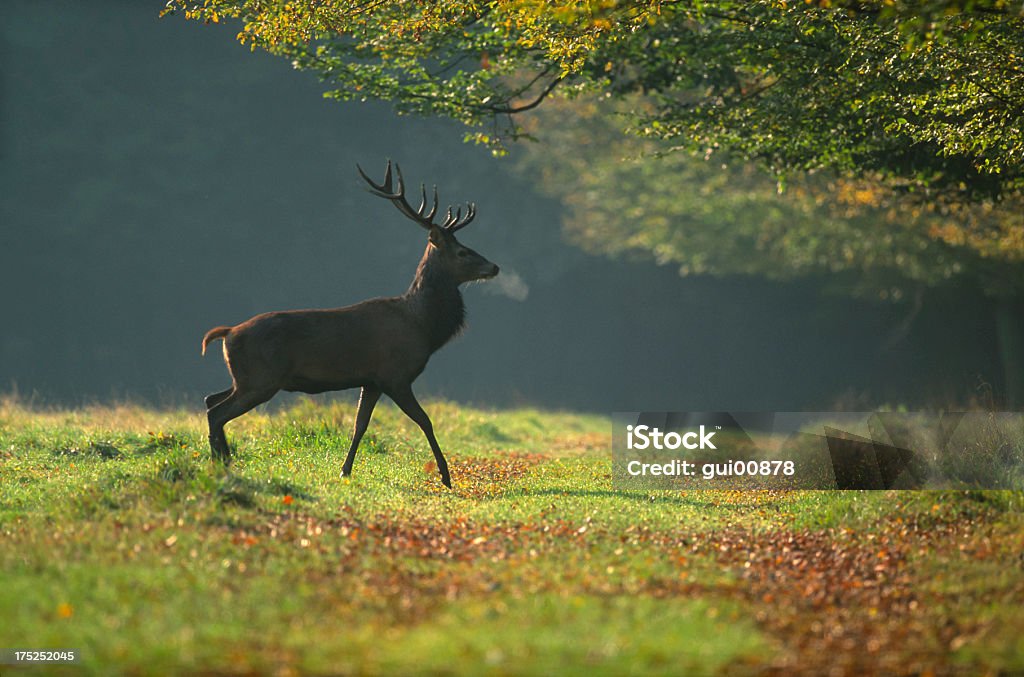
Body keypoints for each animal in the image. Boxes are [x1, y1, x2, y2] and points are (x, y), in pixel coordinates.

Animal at [198, 160, 495, 487]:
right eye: (462, 251)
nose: (494, 267)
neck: (423, 327)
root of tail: (227, 333)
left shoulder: (372, 380)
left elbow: (359, 425)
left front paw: (345, 469)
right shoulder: (395, 375)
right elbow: (425, 421)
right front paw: (445, 475)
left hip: (246, 378)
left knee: (211, 400)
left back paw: (224, 460)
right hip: (261, 379)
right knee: (218, 412)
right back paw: (221, 463)